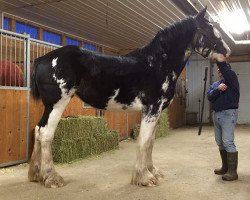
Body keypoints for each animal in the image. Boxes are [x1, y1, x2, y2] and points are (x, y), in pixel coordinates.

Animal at [29, 7, 230, 188]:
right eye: (208, 30)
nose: (227, 51)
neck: (158, 64)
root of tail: (42, 59)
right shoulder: (152, 109)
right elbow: (143, 141)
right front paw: (144, 178)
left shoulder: (154, 112)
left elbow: (150, 142)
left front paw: (153, 171)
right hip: (57, 104)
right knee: (46, 134)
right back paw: (52, 178)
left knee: (38, 130)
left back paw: (36, 175)